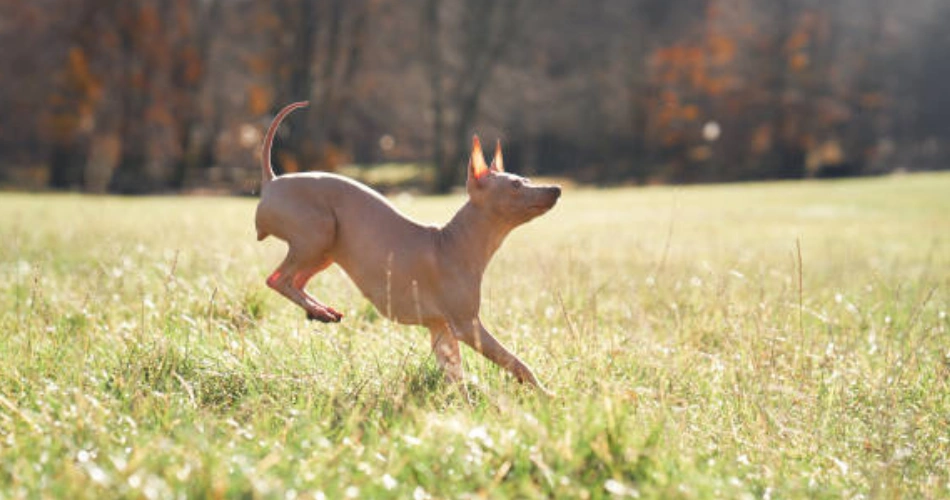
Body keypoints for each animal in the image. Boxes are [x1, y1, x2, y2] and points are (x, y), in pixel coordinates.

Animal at [256, 101, 560, 394]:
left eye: (526, 179)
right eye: (516, 184)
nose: (555, 189)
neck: (455, 241)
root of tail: (272, 181)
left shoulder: (441, 329)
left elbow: (455, 375)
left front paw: (464, 403)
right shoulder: (467, 326)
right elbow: (516, 362)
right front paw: (547, 395)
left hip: (325, 249)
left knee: (296, 281)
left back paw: (319, 310)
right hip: (320, 233)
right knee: (276, 279)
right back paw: (316, 308)